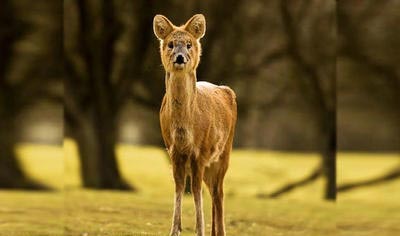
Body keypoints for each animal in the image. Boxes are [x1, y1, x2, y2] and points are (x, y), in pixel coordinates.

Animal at [152, 14, 234, 236]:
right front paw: (174, 229)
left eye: (189, 44)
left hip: (225, 151)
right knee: (213, 190)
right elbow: (179, 187)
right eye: (171, 44)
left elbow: (196, 191)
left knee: (218, 191)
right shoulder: (173, 150)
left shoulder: (201, 150)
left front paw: (200, 230)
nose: (180, 57)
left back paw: (220, 232)